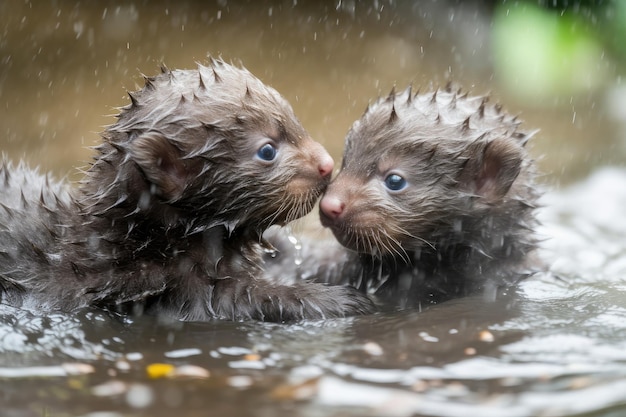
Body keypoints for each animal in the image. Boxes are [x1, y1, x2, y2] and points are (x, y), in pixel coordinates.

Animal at [0, 57, 370, 320]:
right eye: (267, 150)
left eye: (296, 123)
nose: (326, 164)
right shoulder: (165, 287)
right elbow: (240, 300)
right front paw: (337, 299)